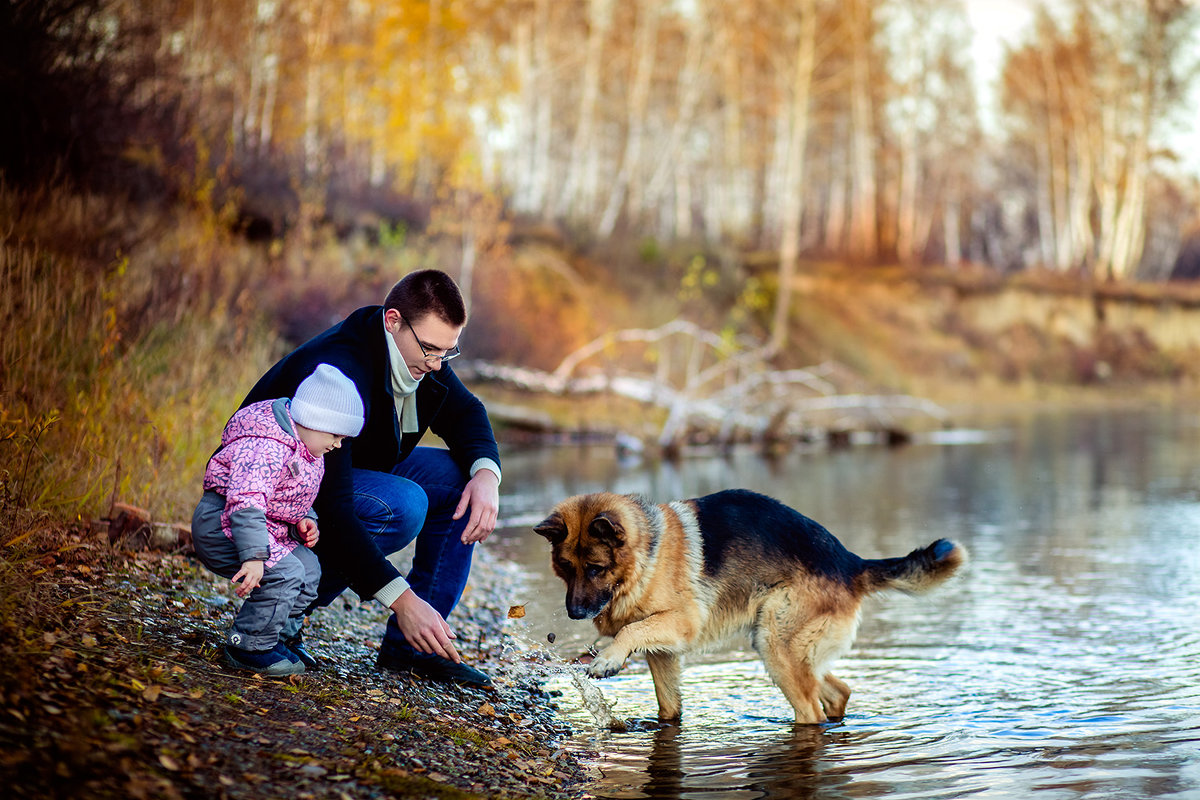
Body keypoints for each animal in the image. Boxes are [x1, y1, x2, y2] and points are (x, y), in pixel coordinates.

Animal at [535, 489, 964, 724]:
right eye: (565, 568)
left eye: (595, 568)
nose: (574, 614)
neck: (646, 556)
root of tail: (850, 561)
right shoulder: (665, 654)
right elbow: (669, 707)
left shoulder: (680, 624)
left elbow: (631, 629)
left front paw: (607, 658)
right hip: (784, 645)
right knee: (837, 691)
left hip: (776, 643)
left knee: (811, 711)